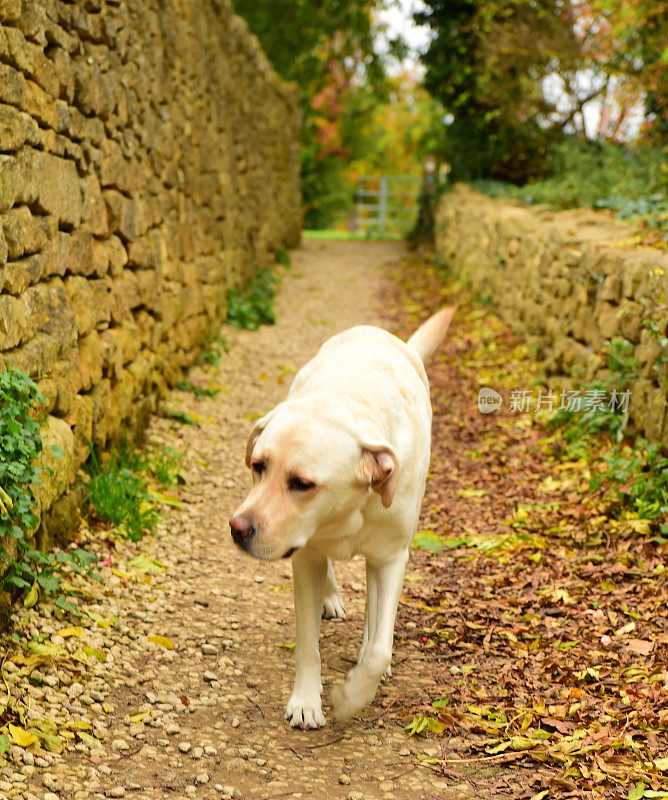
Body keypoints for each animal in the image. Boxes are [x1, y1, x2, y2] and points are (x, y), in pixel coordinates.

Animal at [230, 308, 454, 732]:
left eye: (303, 484)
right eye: (258, 465)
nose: (238, 529)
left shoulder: (392, 557)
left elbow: (381, 648)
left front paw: (352, 696)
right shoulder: (305, 556)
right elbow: (307, 645)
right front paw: (306, 701)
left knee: (374, 618)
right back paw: (331, 596)